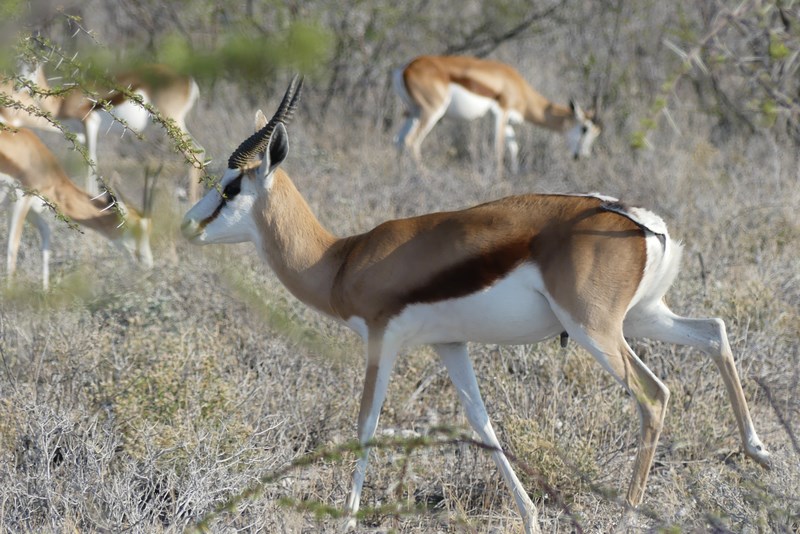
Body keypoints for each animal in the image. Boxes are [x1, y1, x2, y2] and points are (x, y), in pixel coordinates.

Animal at [0, 126, 155, 292]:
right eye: (136, 230)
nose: (148, 264)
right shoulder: (20, 200)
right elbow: (13, 247)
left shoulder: (31, 210)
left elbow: (46, 232)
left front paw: (45, 290)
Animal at [4, 62, 205, 203]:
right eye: (19, 63)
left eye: (32, 66)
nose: (16, 86)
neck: (62, 102)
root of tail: (187, 80)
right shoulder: (81, 135)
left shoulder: (90, 124)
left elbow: (90, 162)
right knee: (200, 151)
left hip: (172, 122)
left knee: (195, 153)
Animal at [181, 78, 768, 534]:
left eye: (230, 186)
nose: (188, 223)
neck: (341, 258)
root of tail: (633, 219)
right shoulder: (450, 344)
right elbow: (482, 423)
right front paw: (531, 517)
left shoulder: (380, 341)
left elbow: (366, 423)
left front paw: (345, 519)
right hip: (643, 316)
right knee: (714, 330)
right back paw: (757, 450)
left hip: (594, 329)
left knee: (654, 394)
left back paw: (628, 511)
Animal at [394, 56, 600, 177]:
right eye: (585, 128)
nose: (582, 156)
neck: (518, 86)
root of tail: (405, 68)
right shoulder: (501, 112)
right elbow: (498, 148)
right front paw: (500, 181)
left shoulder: (508, 121)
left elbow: (513, 147)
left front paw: (514, 176)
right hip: (432, 112)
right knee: (412, 140)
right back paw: (424, 177)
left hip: (413, 112)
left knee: (399, 140)